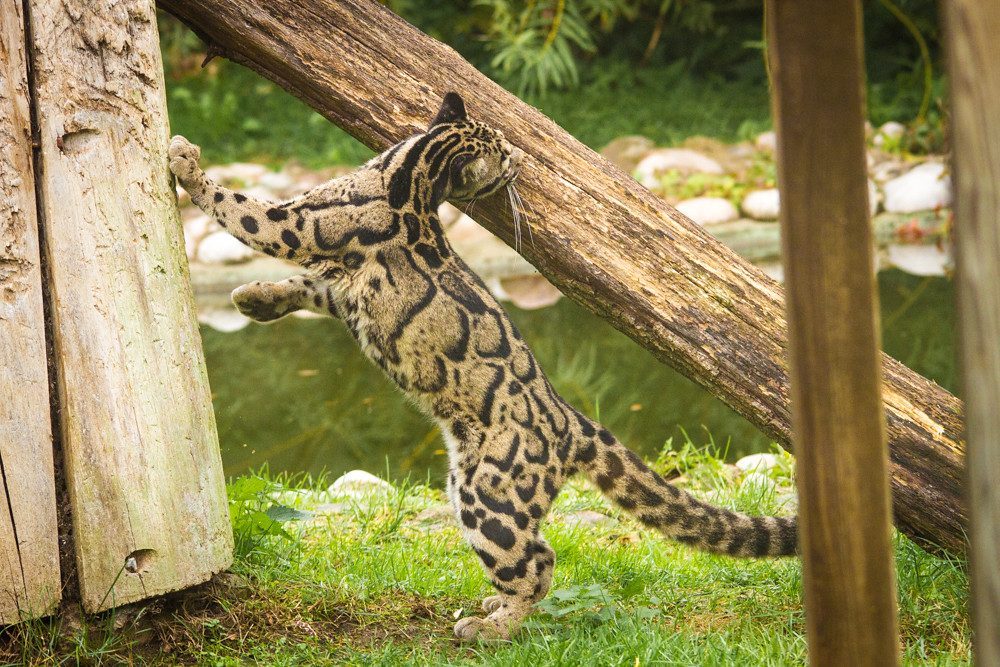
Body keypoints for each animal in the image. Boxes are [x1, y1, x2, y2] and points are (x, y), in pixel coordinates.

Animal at [168, 92, 797, 641]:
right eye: (503, 147)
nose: (520, 162)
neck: (408, 175)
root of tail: (572, 420)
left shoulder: (299, 225)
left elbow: (242, 210)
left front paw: (185, 162)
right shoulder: (344, 287)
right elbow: (306, 285)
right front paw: (253, 297)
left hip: (487, 496)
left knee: (539, 562)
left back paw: (491, 627)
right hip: (471, 485)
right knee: (536, 552)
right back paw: (493, 607)